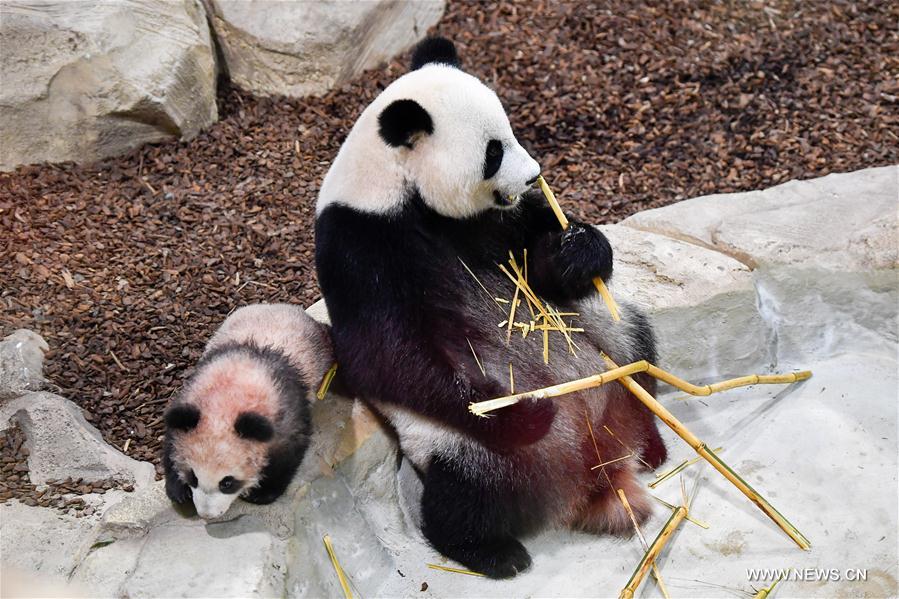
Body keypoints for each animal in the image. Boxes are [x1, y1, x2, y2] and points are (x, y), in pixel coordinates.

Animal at [164, 303, 333, 519]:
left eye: (227, 482)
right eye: (193, 476)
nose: (207, 514)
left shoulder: (286, 409)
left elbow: (289, 451)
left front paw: (261, 493)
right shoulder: (192, 396)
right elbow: (173, 436)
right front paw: (178, 489)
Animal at [315, 37, 667, 578]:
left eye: (511, 130)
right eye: (493, 151)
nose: (535, 176)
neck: (397, 187)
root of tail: (593, 469)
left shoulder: (492, 222)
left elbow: (537, 265)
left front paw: (578, 248)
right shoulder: (361, 246)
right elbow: (384, 355)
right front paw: (523, 412)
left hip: (614, 349)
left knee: (638, 350)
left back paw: (652, 446)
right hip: (456, 446)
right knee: (466, 492)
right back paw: (493, 551)